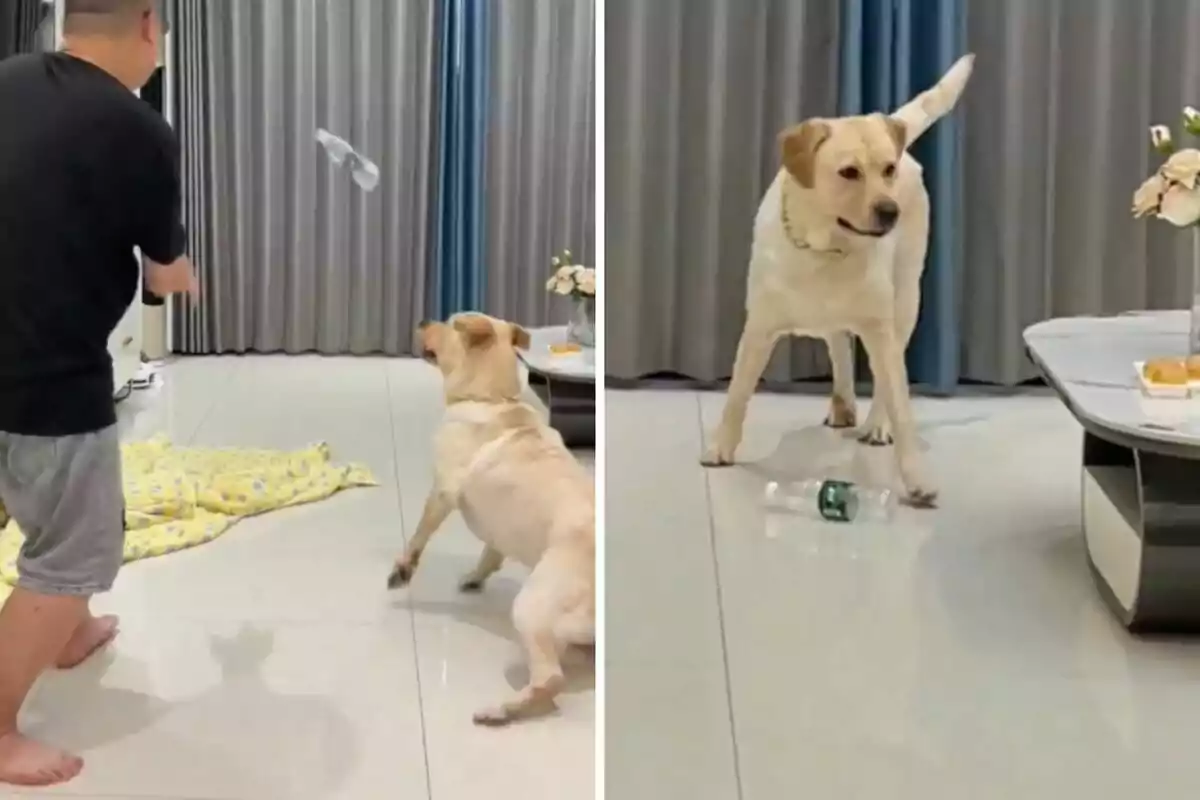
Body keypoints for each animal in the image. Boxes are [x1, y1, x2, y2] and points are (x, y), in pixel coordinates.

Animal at [388, 316, 595, 729]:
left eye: (450, 322)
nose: (423, 319)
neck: (492, 398)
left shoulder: (442, 491)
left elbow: (419, 534)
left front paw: (403, 568)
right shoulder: (495, 528)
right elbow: (491, 552)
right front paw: (475, 576)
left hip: (533, 606)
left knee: (550, 680)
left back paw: (500, 710)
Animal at [700, 54, 974, 506]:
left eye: (887, 169)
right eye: (849, 172)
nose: (890, 211)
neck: (823, 248)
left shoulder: (880, 327)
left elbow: (899, 403)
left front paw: (916, 477)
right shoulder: (759, 325)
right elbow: (737, 392)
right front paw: (720, 447)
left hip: (905, 300)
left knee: (880, 372)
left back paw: (874, 424)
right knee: (838, 345)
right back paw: (843, 403)